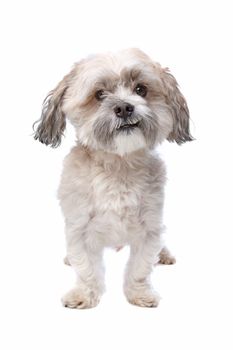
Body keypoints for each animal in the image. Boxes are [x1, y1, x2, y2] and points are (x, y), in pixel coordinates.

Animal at [32, 47, 193, 308]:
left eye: (140, 89)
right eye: (99, 94)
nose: (124, 108)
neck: (119, 165)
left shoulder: (149, 227)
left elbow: (140, 267)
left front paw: (140, 294)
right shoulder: (80, 226)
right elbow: (86, 267)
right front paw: (83, 294)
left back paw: (164, 254)